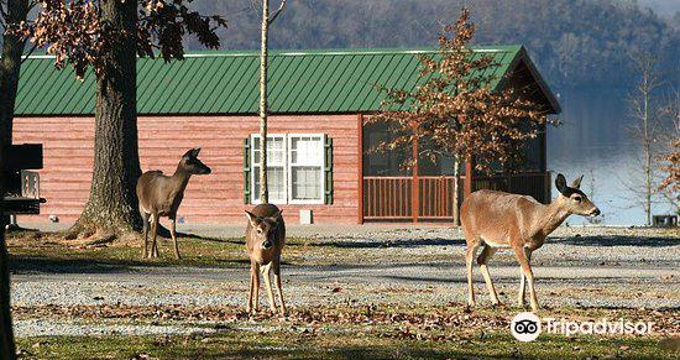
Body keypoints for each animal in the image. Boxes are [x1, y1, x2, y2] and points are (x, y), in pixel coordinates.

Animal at [462, 173, 600, 310]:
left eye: (585, 195)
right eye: (577, 198)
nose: (596, 210)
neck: (533, 221)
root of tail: (465, 201)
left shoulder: (529, 248)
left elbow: (523, 271)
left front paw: (521, 301)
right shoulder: (516, 242)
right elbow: (529, 272)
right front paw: (535, 304)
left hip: (492, 243)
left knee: (481, 259)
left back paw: (496, 301)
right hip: (471, 235)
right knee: (469, 259)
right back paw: (472, 301)